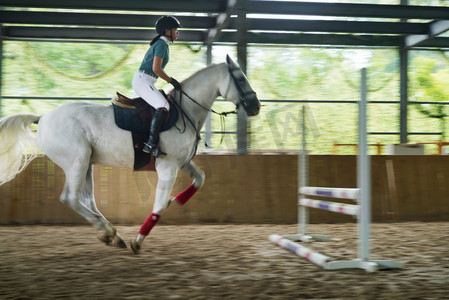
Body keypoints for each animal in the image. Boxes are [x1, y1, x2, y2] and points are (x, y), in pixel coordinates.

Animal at [0, 55, 260, 252]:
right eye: (240, 78)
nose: (256, 107)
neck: (185, 110)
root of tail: (43, 117)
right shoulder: (168, 166)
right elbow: (159, 206)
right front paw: (139, 240)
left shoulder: (182, 162)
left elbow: (200, 179)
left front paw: (177, 200)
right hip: (76, 162)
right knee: (71, 198)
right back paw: (109, 231)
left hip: (86, 164)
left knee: (88, 200)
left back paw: (111, 234)